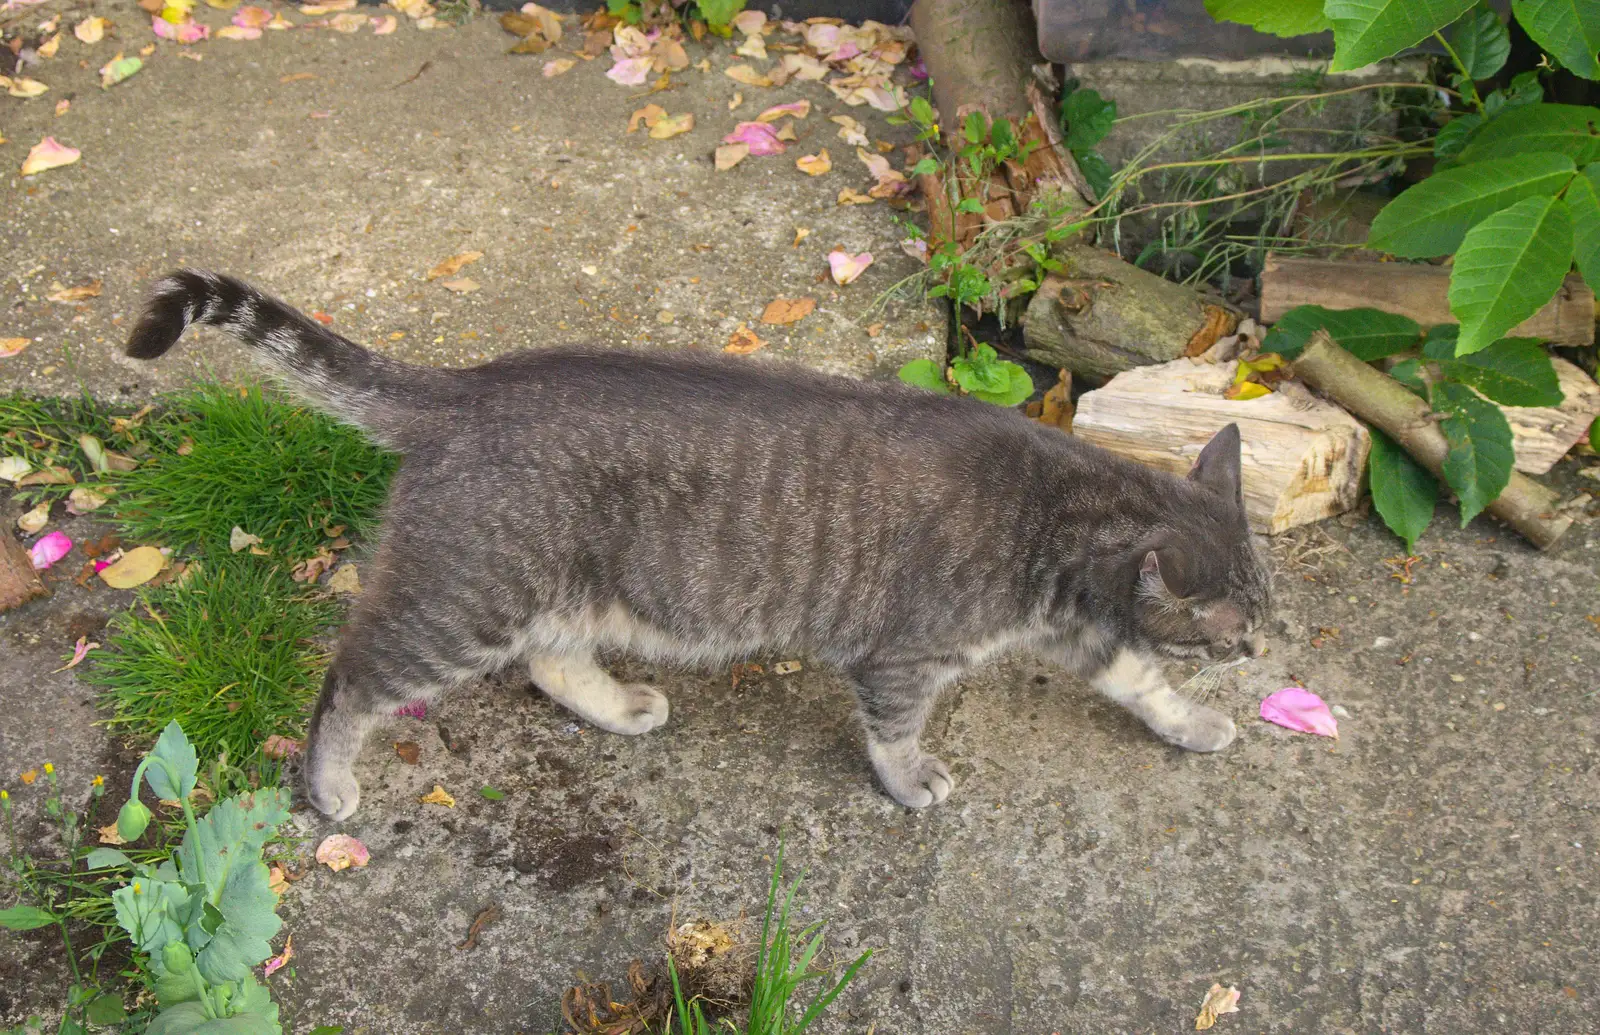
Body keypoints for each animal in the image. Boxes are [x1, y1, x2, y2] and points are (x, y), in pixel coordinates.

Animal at [124, 271, 1267, 819]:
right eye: (1240, 630)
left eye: (1266, 617)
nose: (1263, 653)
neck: (1060, 512)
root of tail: (465, 387)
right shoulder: (903, 659)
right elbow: (895, 734)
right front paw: (910, 782)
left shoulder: (1093, 633)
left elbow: (1143, 680)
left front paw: (1192, 722)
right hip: (460, 603)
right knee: (353, 679)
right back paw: (328, 785)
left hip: (555, 589)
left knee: (552, 661)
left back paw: (618, 704)